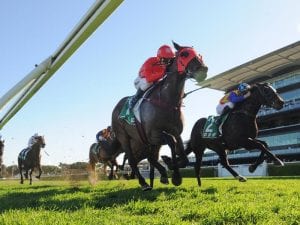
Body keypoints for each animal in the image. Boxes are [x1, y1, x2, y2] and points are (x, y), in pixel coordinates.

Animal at [111, 41, 207, 190]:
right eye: (184, 54)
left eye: (199, 54)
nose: (203, 70)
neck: (168, 101)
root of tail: (116, 107)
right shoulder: (154, 134)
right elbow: (171, 142)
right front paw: (176, 176)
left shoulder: (176, 132)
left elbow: (182, 153)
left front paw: (170, 164)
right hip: (125, 138)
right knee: (132, 159)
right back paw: (144, 183)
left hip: (140, 141)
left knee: (147, 157)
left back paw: (160, 174)